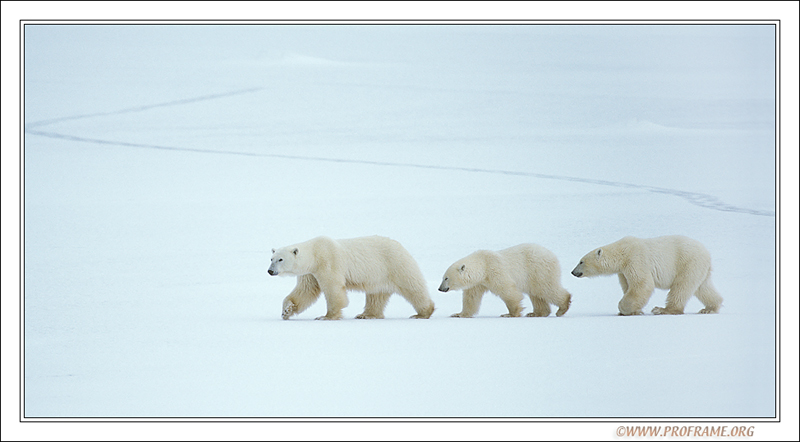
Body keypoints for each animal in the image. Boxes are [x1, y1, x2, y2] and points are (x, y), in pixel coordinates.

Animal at [268, 237, 434, 320]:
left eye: (280, 259)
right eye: (271, 258)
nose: (270, 271)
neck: (315, 253)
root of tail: (401, 246)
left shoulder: (328, 261)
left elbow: (333, 289)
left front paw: (326, 316)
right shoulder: (309, 273)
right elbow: (305, 292)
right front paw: (286, 311)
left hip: (395, 264)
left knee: (413, 287)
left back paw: (422, 313)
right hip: (379, 276)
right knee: (376, 296)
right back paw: (367, 315)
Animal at [438, 245, 568, 318]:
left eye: (446, 278)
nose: (440, 288)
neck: (483, 265)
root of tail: (552, 255)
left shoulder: (495, 270)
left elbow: (508, 291)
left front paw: (510, 314)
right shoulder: (478, 283)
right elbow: (471, 299)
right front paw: (458, 314)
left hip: (539, 269)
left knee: (546, 288)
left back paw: (562, 308)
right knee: (537, 294)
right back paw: (536, 313)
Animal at [568, 235, 724, 314]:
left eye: (581, 261)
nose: (573, 272)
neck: (622, 252)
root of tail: (707, 254)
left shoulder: (635, 259)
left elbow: (642, 284)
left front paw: (624, 309)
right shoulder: (623, 271)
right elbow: (628, 286)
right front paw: (635, 310)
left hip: (688, 262)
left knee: (681, 287)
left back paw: (663, 309)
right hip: (699, 268)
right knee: (702, 287)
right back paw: (710, 308)